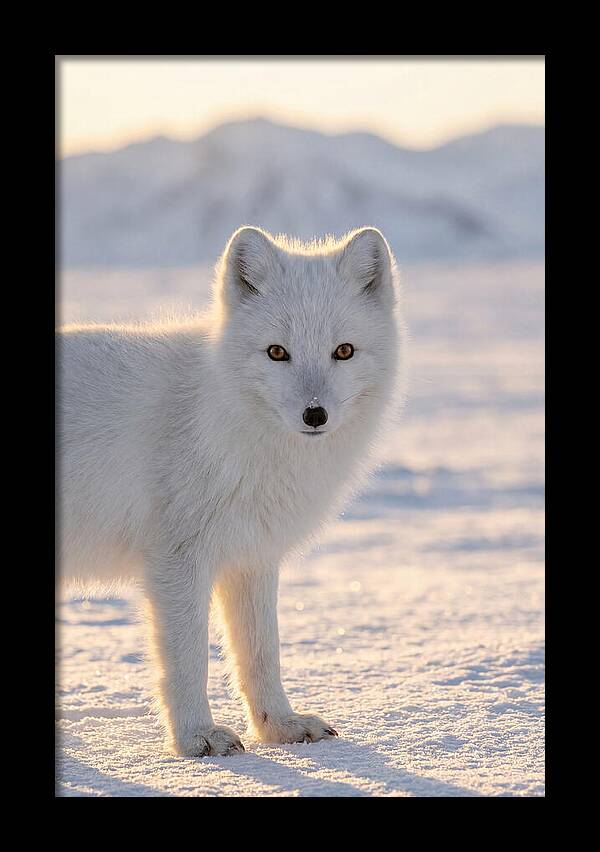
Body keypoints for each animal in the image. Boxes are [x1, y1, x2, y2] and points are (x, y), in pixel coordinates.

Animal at [57, 225, 405, 757]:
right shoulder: (177, 560)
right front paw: (195, 739)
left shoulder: (252, 556)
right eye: (277, 352)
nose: (315, 415)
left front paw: (278, 726)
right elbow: (188, 660)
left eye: (343, 351)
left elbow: (262, 653)